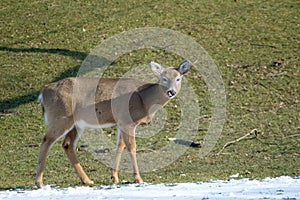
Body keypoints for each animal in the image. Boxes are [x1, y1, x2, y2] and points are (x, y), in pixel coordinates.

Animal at [35, 59, 190, 188]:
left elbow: (120, 146)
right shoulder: (127, 121)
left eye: (178, 78)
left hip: (77, 124)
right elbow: (132, 147)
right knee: (46, 140)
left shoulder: (121, 122)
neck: (144, 100)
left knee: (67, 144)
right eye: (163, 78)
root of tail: (43, 93)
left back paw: (87, 180)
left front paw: (114, 177)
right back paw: (39, 182)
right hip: (60, 117)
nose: (171, 91)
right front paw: (138, 178)